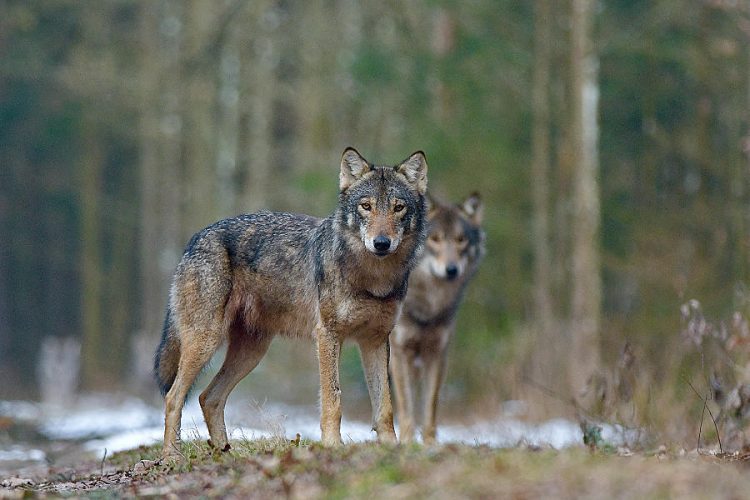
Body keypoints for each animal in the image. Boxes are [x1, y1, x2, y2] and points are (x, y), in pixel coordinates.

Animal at [153, 147, 428, 458]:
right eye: (366, 206)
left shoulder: (376, 340)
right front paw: (332, 446)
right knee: (174, 396)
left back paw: (226, 453)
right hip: (206, 341)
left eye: (398, 207)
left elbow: (385, 407)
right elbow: (333, 399)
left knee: (207, 397)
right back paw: (171, 455)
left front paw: (393, 449)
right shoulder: (327, 335)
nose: (381, 243)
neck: (373, 279)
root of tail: (195, 239)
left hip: (251, 352)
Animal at [390, 193, 484, 444]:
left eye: (461, 240)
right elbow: (406, 406)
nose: (451, 270)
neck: (428, 307)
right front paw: (407, 444)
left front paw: (429, 445)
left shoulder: (437, 353)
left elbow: (430, 407)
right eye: (434, 239)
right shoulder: (399, 352)